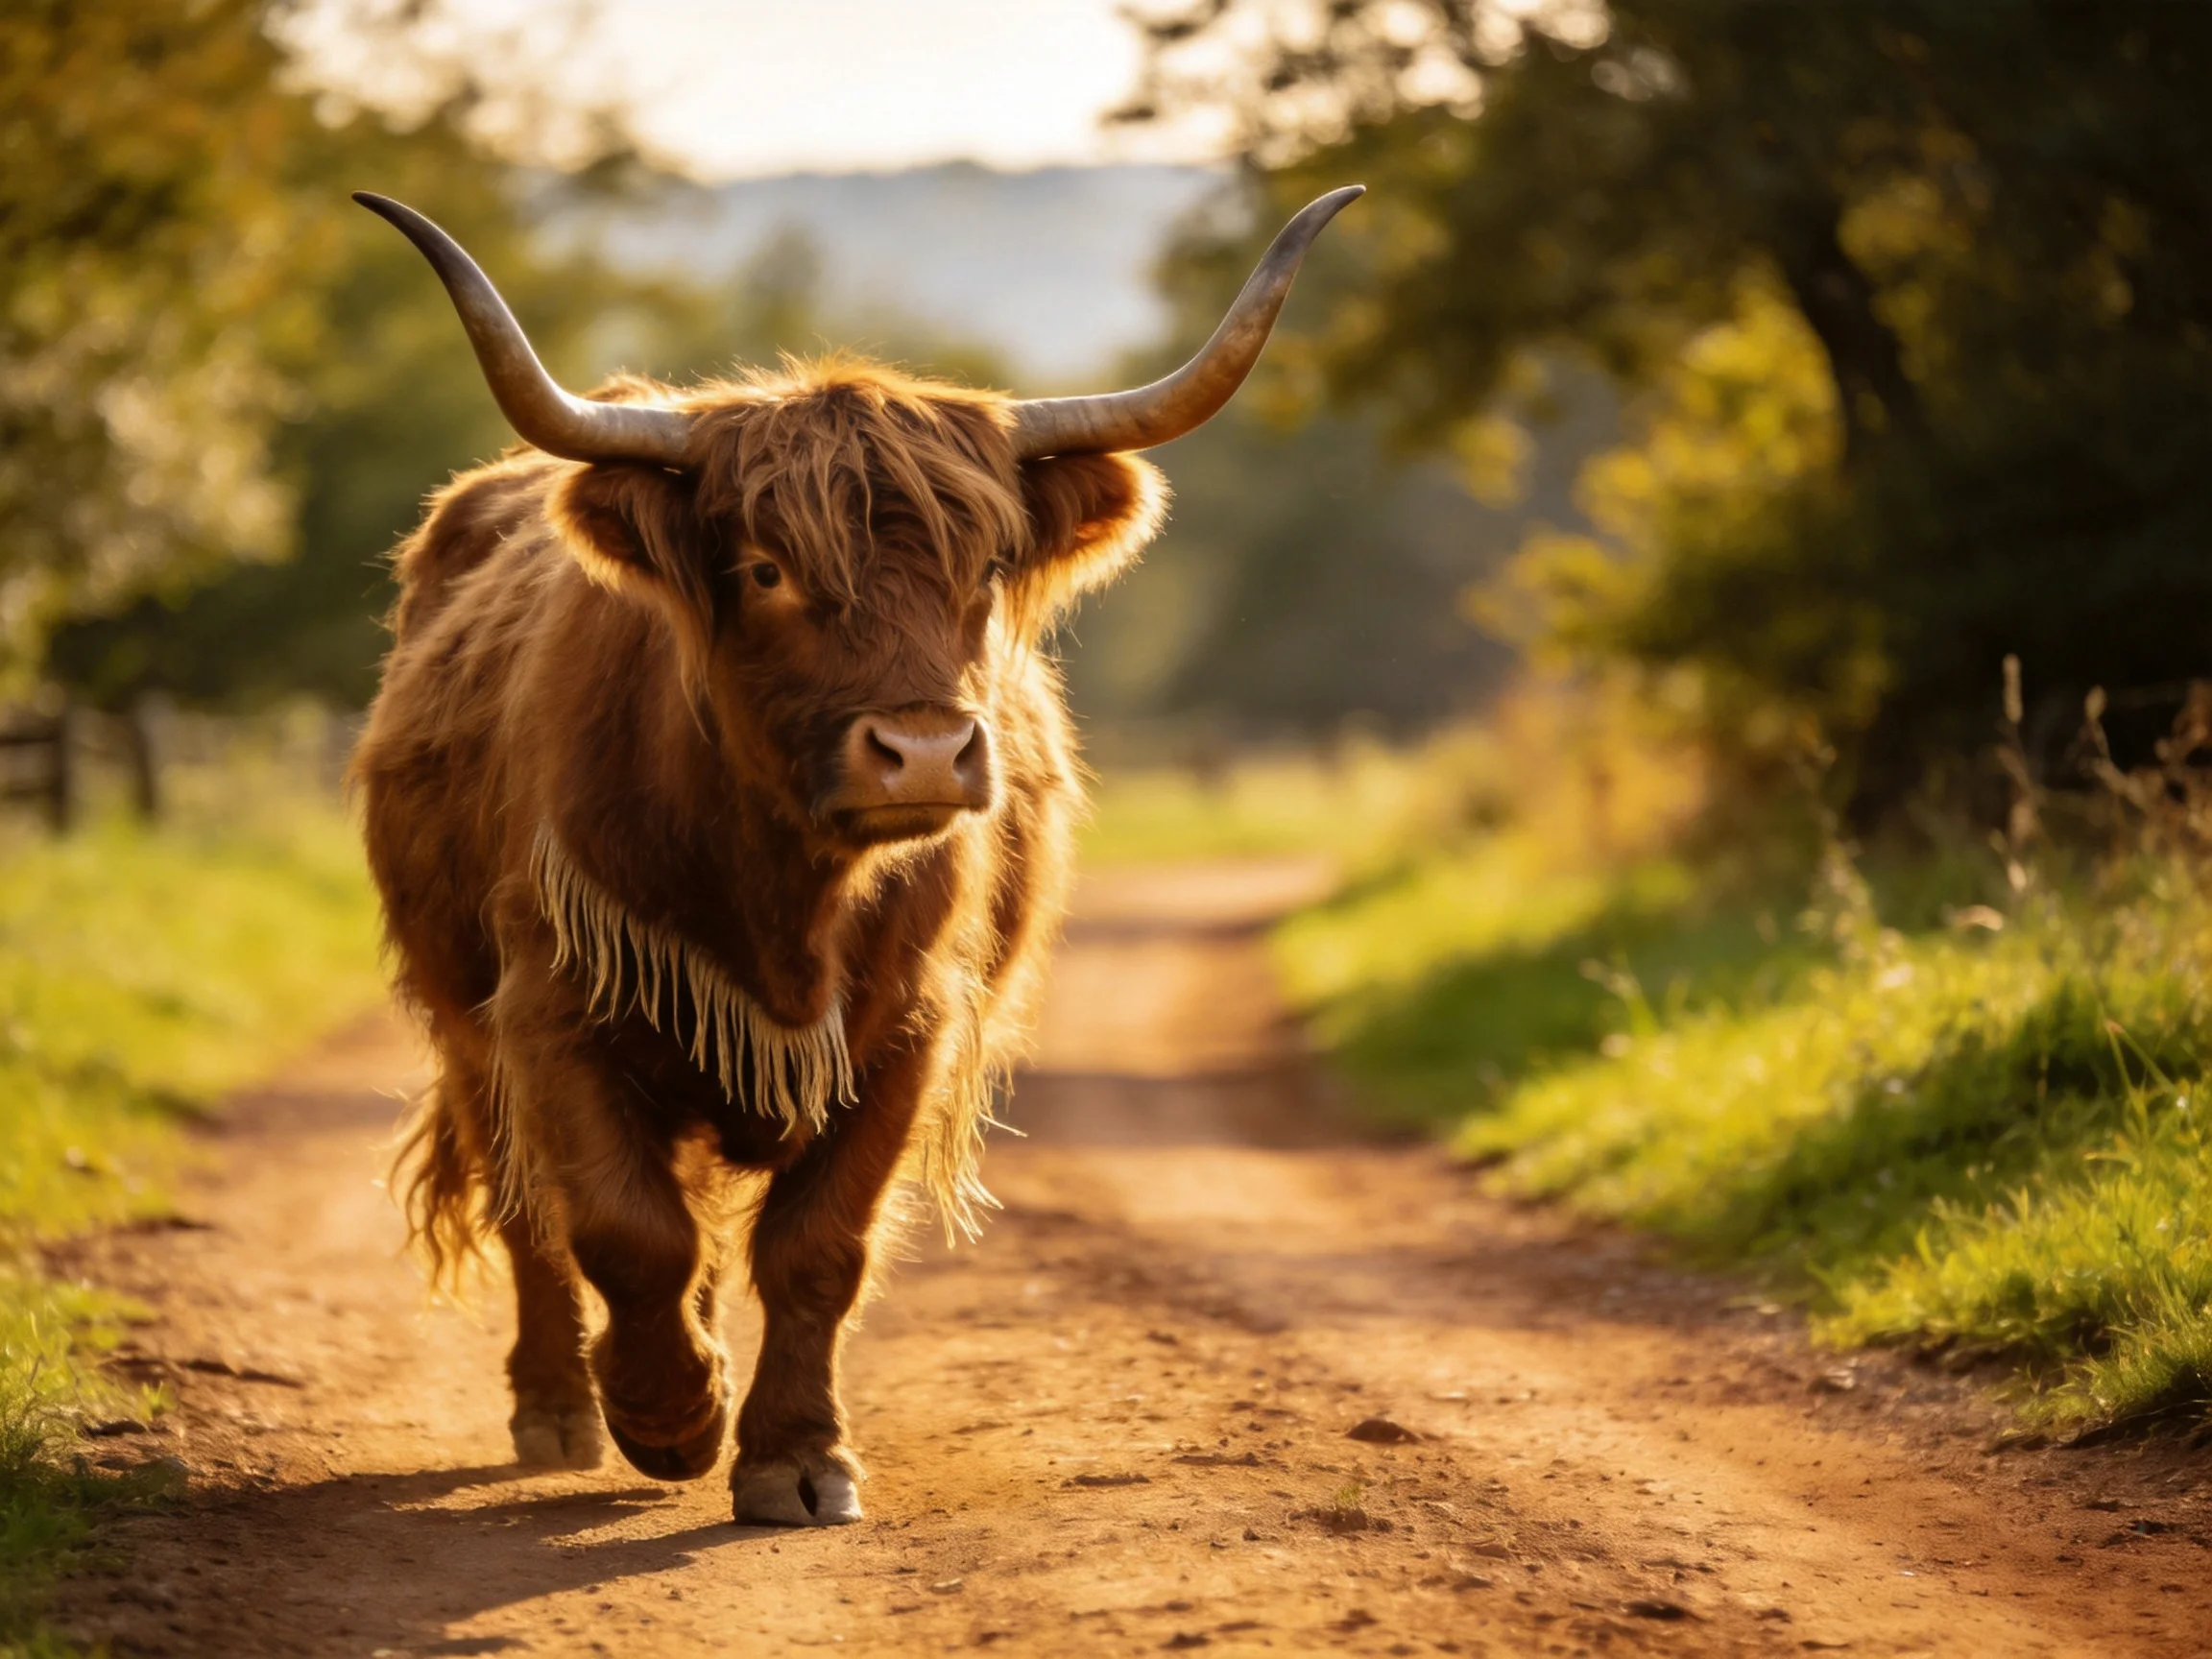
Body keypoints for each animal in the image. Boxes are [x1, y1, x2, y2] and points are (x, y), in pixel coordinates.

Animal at [349, 182, 1360, 1526]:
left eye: (989, 567)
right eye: (766, 570)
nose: (924, 753)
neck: (786, 901)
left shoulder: (905, 1025)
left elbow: (816, 1246)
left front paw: (790, 1454)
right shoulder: (551, 1002)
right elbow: (623, 1228)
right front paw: (669, 1415)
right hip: (464, 1016)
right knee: (532, 1209)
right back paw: (561, 1406)